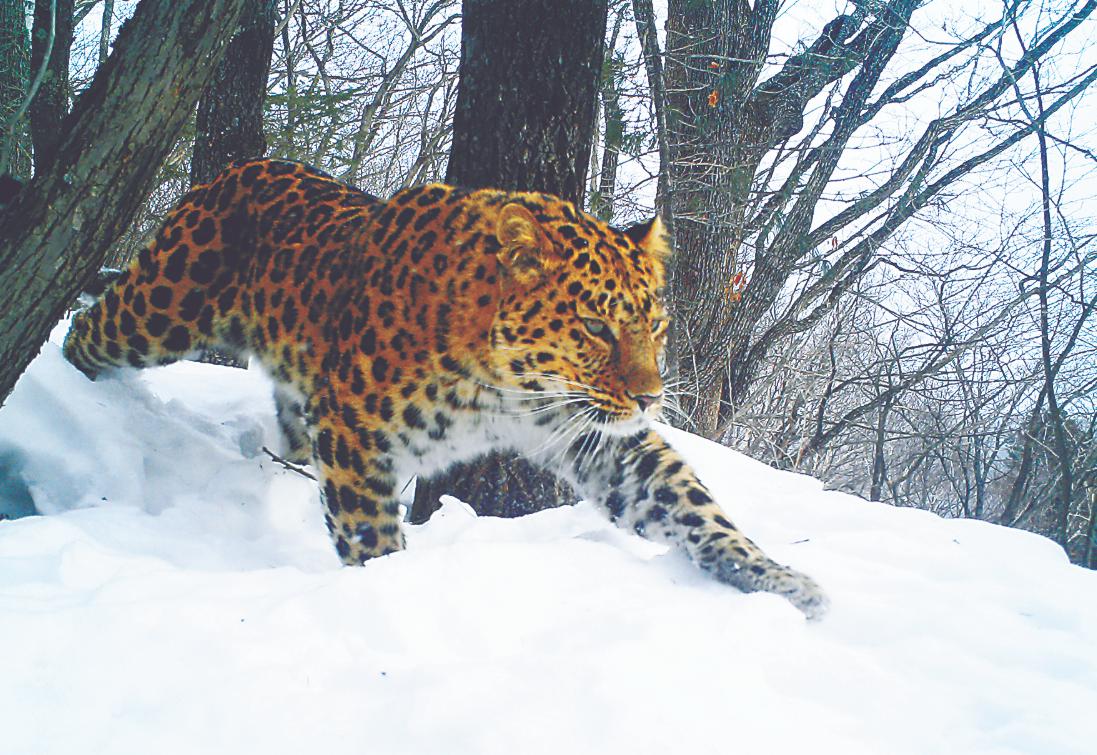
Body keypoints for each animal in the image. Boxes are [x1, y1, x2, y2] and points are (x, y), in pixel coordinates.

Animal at [64, 158, 824, 618]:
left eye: (656, 325)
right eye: (595, 327)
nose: (648, 398)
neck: (503, 382)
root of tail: (243, 165)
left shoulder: (595, 434)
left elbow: (688, 502)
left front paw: (773, 577)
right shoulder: (355, 430)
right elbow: (368, 532)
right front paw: (390, 603)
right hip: (161, 309)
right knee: (86, 328)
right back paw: (67, 396)